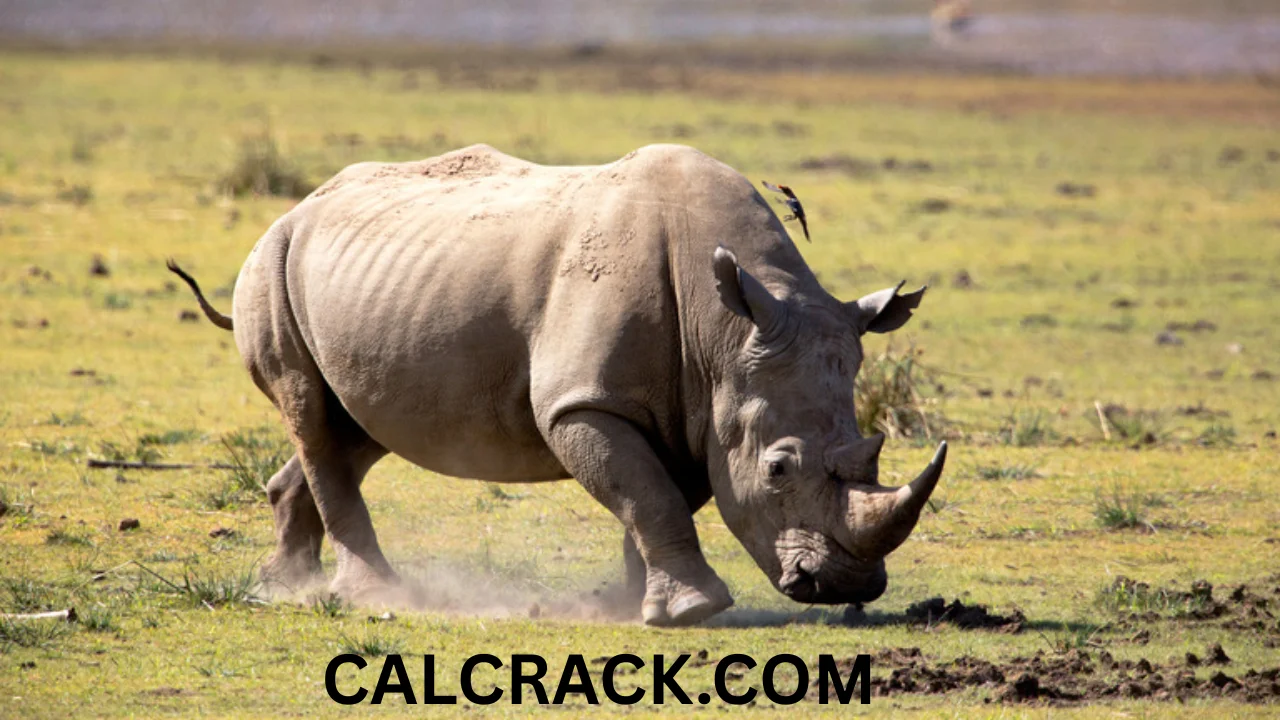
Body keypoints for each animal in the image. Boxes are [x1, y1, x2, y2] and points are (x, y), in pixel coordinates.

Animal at [170, 143, 946, 626]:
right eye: (779, 469)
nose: (845, 586)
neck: (725, 334)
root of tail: (298, 206)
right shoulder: (586, 402)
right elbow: (649, 495)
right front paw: (692, 612)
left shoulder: (696, 410)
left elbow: (656, 497)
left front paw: (635, 607)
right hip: (270, 262)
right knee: (313, 414)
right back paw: (373, 595)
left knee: (353, 426)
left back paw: (283, 586)